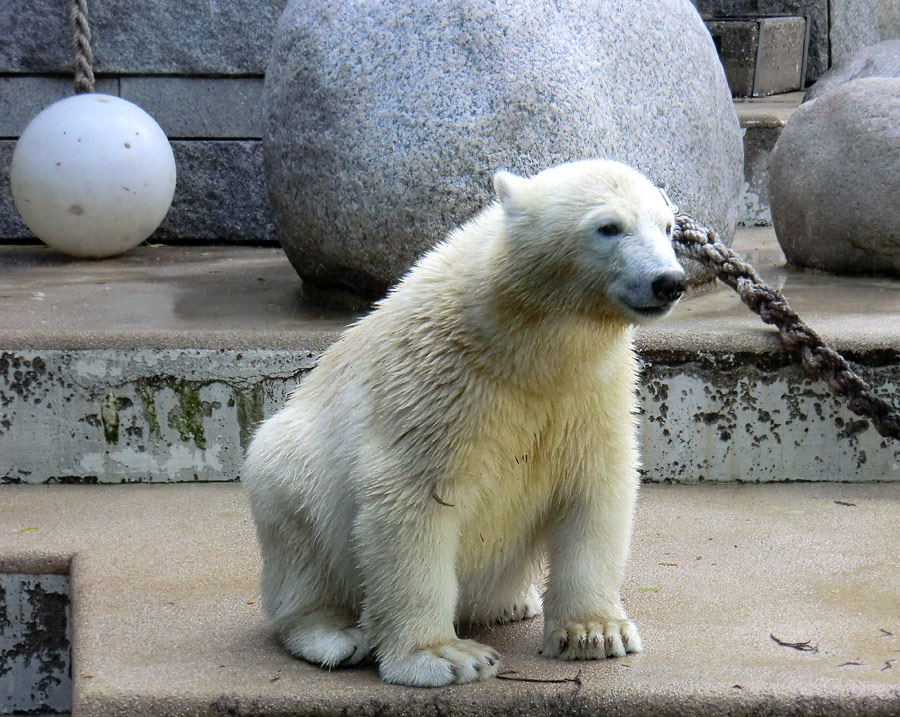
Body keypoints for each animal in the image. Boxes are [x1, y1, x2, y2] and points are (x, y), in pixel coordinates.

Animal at [243, 159, 684, 684]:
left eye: (668, 227)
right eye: (609, 227)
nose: (669, 281)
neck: (523, 342)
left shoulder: (590, 393)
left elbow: (595, 488)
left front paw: (594, 633)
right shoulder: (439, 386)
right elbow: (413, 499)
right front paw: (445, 656)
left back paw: (514, 603)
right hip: (291, 471)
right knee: (298, 534)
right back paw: (336, 634)